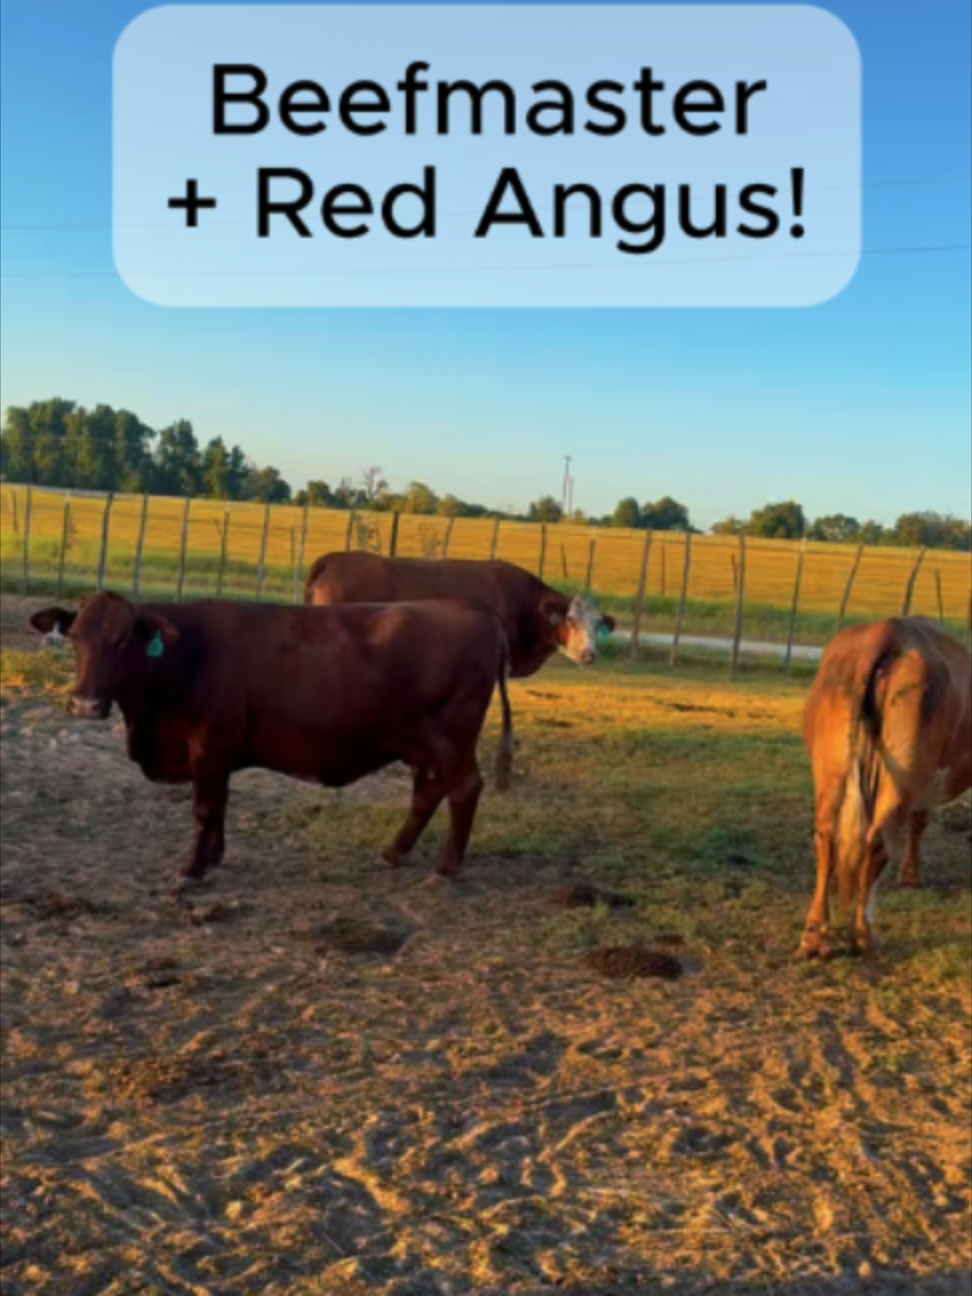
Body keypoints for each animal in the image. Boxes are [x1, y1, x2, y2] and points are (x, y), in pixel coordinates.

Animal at [29, 591, 514, 889]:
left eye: (124, 639)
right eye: (75, 637)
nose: (86, 705)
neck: (183, 656)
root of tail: (478, 612)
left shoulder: (209, 745)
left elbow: (204, 808)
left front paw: (191, 869)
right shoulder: (216, 756)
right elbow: (218, 806)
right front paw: (213, 857)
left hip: (452, 738)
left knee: (463, 789)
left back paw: (446, 868)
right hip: (422, 744)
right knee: (429, 791)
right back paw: (393, 852)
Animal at [798, 616, 972, 960]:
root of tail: (890, 628)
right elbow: (919, 822)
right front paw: (912, 876)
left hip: (832, 767)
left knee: (827, 836)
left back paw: (814, 935)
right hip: (903, 775)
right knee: (877, 842)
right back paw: (863, 935)